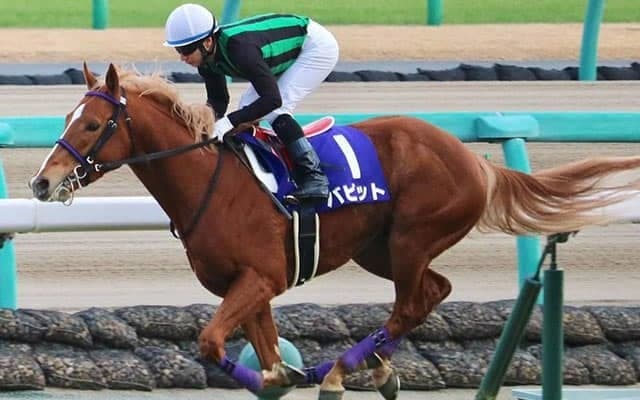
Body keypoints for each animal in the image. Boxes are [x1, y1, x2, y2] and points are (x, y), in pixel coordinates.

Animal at [30, 63, 640, 399]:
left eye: (91, 123)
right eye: (65, 119)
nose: (41, 182)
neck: (208, 181)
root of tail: (472, 159)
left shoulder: (261, 277)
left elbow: (212, 342)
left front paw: (290, 377)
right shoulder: (252, 288)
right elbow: (267, 357)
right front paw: (281, 376)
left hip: (411, 238)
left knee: (412, 302)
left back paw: (342, 372)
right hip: (379, 248)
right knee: (434, 292)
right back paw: (370, 366)